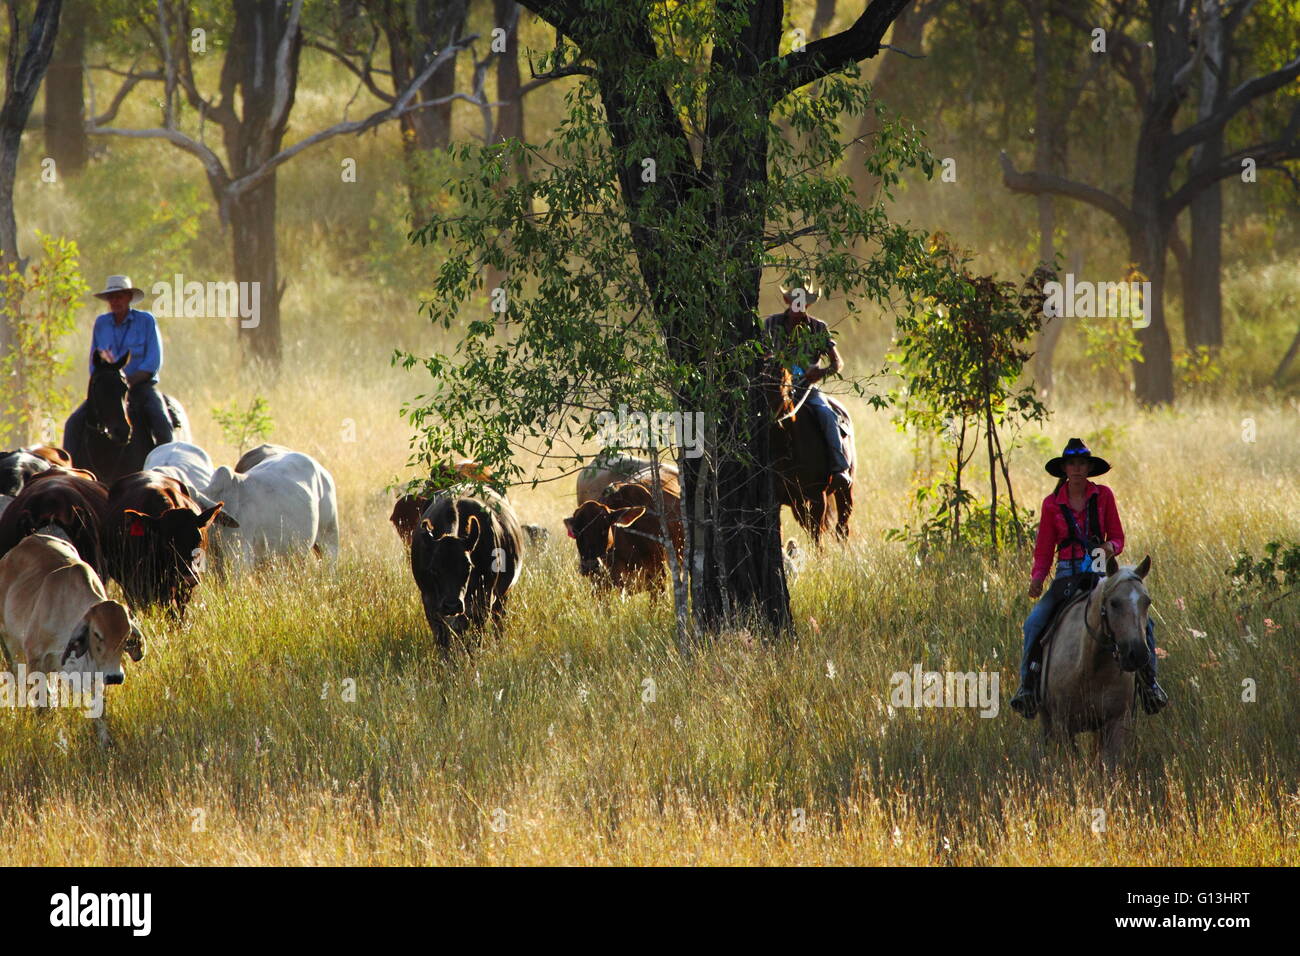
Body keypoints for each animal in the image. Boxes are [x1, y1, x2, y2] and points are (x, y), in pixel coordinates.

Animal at [0, 533, 145, 745]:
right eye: (97, 634)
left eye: (126, 637)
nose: (115, 677)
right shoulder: (35, 659)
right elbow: (41, 705)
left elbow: (99, 709)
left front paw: (105, 742)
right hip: (11, 647)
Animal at [410, 488, 523, 650]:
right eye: (433, 569)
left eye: (468, 567)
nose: (452, 605)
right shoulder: (429, 600)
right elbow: (442, 637)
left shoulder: (483, 598)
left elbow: (476, 635)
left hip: (502, 595)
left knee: (498, 622)